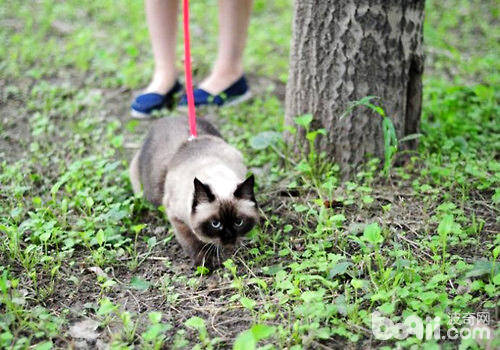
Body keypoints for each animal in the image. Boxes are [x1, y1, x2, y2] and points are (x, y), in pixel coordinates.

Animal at [129, 117, 258, 268]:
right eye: (215, 224)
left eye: (239, 222)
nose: (229, 239)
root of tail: (167, 118)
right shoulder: (176, 218)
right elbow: (192, 241)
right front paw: (206, 261)